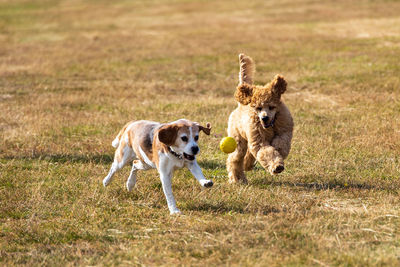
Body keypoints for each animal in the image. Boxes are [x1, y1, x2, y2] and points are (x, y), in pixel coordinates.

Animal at [228, 54, 294, 184]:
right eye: (258, 108)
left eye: (271, 107)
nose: (264, 118)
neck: (270, 126)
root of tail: (240, 106)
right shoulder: (259, 139)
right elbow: (266, 151)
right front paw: (276, 166)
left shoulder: (284, 131)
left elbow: (280, 144)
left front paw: (278, 156)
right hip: (238, 139)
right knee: (235, 159)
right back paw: (237, 179)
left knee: (248, 154)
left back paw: (247, 166)